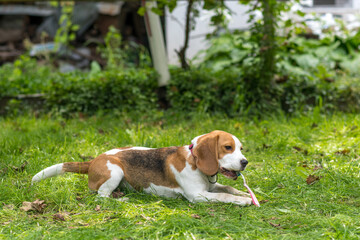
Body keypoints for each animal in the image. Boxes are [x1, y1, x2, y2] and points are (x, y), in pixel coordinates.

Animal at [33, 130, 253, 205]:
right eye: (227, 147)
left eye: (241, 148)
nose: (245, 162)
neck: (194, 159)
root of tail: (93, 160)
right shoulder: (197, 196)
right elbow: (224, 196)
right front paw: (243, 201)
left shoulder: (211, 187)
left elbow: (228, 188)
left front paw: (244, 194)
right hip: (115, 170)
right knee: (101, 197)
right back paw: (122, 200)